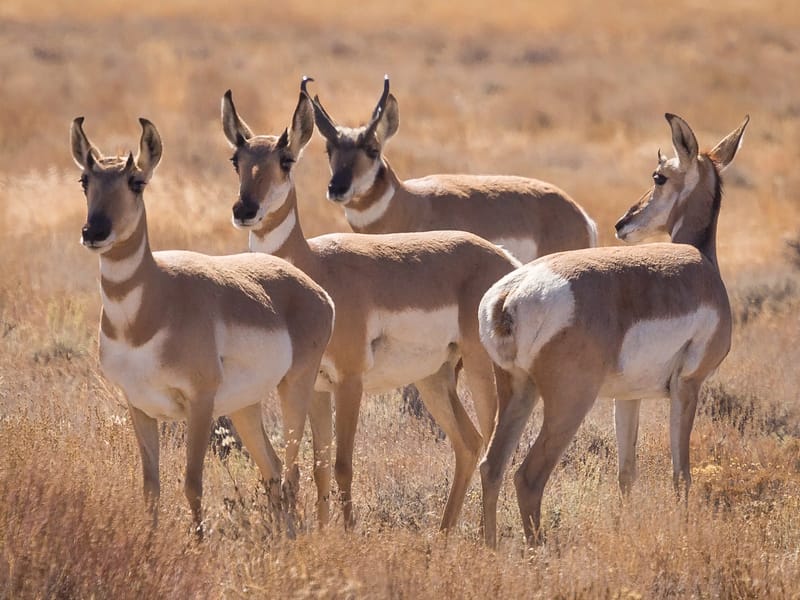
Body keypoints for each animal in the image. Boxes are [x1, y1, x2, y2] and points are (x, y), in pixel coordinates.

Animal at [71, 117, 335, 535]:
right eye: (85, 180)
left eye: (136, 181)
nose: (94, 231)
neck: (148, 310)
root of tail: (314, 289)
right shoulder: (139, 407)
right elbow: (151, 488)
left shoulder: (200, 403)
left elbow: (192, 483)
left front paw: (196, 542)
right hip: (246, 406)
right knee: (273, 469)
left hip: (295, 388)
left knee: (293, 471)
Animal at [221, 80, 521, 530]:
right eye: (237, 159)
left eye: (286, 159)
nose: (245, 210)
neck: (316, 267)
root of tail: (504, 261)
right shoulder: (318, 387)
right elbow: (320, 466)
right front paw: (324, 532)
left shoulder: (350, 381)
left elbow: (343, 464)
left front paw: (346, 533)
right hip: (434, 378)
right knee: (468, 443)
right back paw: (444, 533)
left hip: (481, 370)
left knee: (491, 447)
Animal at [477, 113, 749, 547]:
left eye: (658, 176)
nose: (622, 223)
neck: (701, 261)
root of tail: (511, 293)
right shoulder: (688, 387)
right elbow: (681, 474)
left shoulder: (628, 397)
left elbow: (626, 473)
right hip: (569, 403)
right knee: (528, 476)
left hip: (517, 392)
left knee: (493, 465)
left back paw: (490, 547)